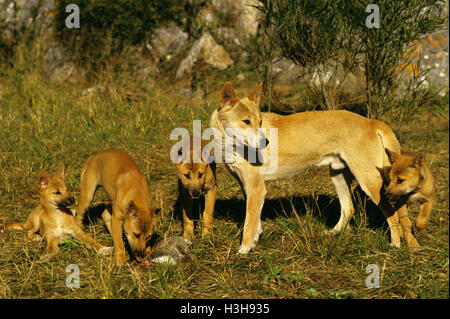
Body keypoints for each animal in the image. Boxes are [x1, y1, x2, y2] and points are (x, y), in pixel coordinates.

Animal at [210, 83, 418, 255]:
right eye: (246, 121)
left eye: (260, 122)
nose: (265, 142)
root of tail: (371, 121)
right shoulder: (249, 188)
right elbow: (255, 223)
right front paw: (253, 243)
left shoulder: (256, 189)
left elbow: (248, 224)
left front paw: (243, 250)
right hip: (338, 176)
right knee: (348, 209)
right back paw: (333, 233)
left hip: (369, 183)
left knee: (390, 212)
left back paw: (395, 244)